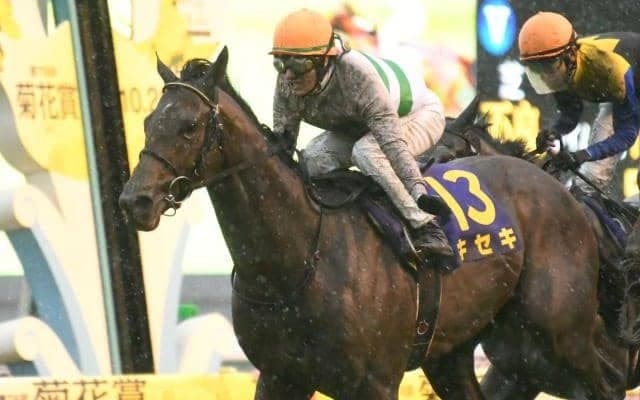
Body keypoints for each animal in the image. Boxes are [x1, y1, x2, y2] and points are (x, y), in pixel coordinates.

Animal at [119, 47, 635, 399]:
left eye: (189, 126)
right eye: (147, 122)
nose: (134, 200)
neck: (299, 255)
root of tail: (559, 194)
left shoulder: (373, 382)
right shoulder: (280, 376)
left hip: (556, 336)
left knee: (606, 384)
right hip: (472, 354)